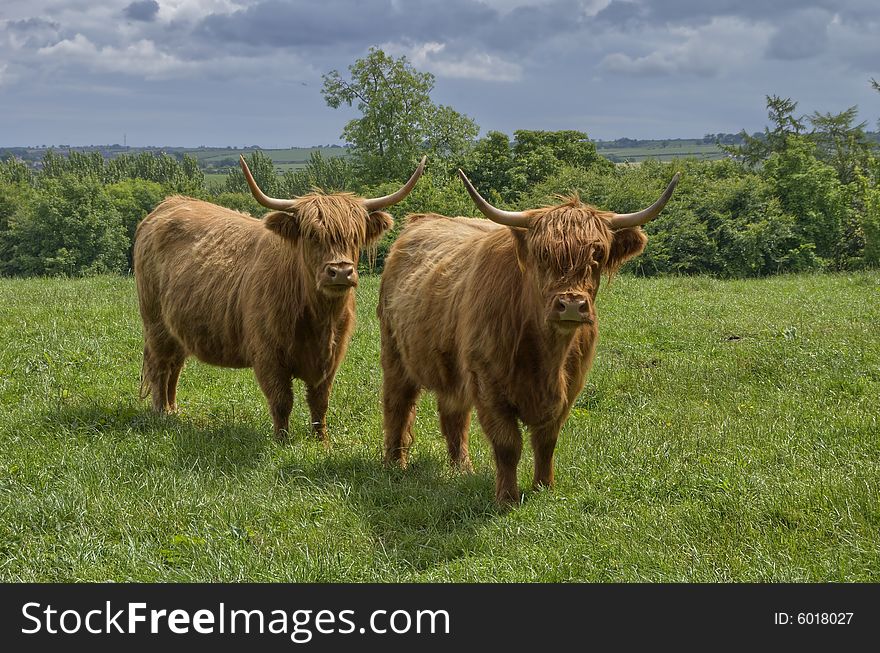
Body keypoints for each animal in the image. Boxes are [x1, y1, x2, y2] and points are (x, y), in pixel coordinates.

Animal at [134, 154, 426, 438]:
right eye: (312, 236)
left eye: (355, 236)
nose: (341, 271)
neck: (318, 317)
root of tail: (168, 204)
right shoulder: (268, 355)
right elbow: (282, 400)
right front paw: (282, 440)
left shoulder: (332, 356)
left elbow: (320, 401)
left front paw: (321, 440)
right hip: (155, 321)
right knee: (160, 365)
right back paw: (161, 413)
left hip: (178, 326)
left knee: (174, 365)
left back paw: (173, 410)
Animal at [380, 169, 680, 504]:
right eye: (543, 253)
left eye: (598, 254)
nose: (571, 304)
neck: (545, 355)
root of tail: (422, 220)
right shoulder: (488, 383)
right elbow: (508, 444)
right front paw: (507, 498)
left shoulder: (569, 388)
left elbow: (546, 441)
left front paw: (544, 487)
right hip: (394, 351)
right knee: (397, 403)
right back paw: (394, 463)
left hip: (451, 368)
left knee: (453, 414)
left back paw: (462, 469)